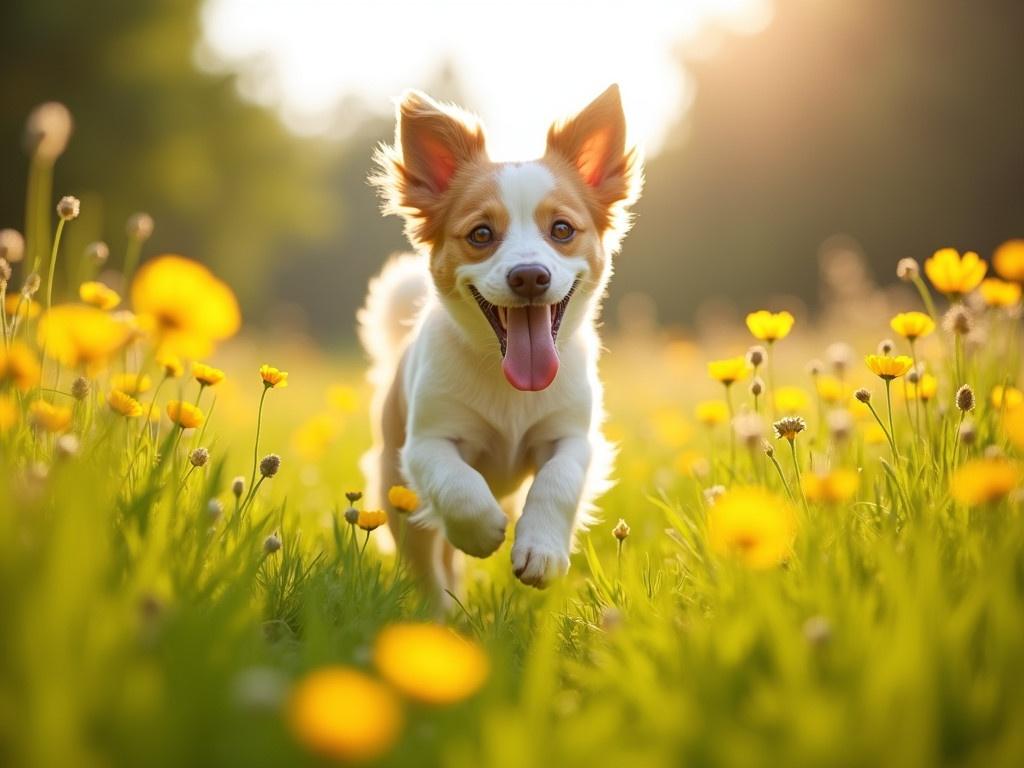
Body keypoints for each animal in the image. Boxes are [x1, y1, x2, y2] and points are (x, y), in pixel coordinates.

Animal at [358, 82, 638, 602]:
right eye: (481, 234)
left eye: (562, 230)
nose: (529, 276)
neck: (509, 382)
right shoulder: (424, 444)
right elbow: (457, 483)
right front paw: (482, 528)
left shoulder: (573, 437)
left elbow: (558, 481)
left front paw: (542, 551)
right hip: (398, 496)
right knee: (430, 571)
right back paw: (441, 613)